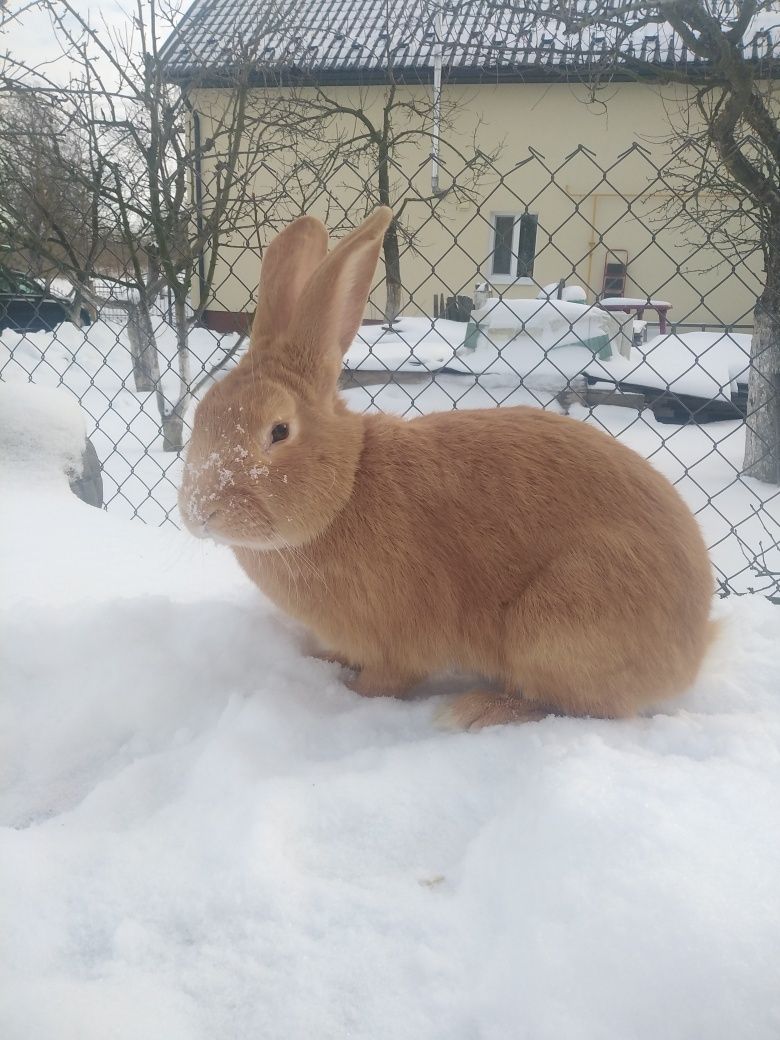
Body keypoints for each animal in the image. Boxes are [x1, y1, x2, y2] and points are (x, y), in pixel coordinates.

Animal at [179, 206, 719, 732]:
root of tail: (693, 649)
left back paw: (479, 710)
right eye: (201, 414)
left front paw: (351, 693)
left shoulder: (400, 639)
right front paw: (324, 660)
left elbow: (388, 678)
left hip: (560, 619)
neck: (347, 486)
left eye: (279, 431)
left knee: (584, 707)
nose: (199, 513)